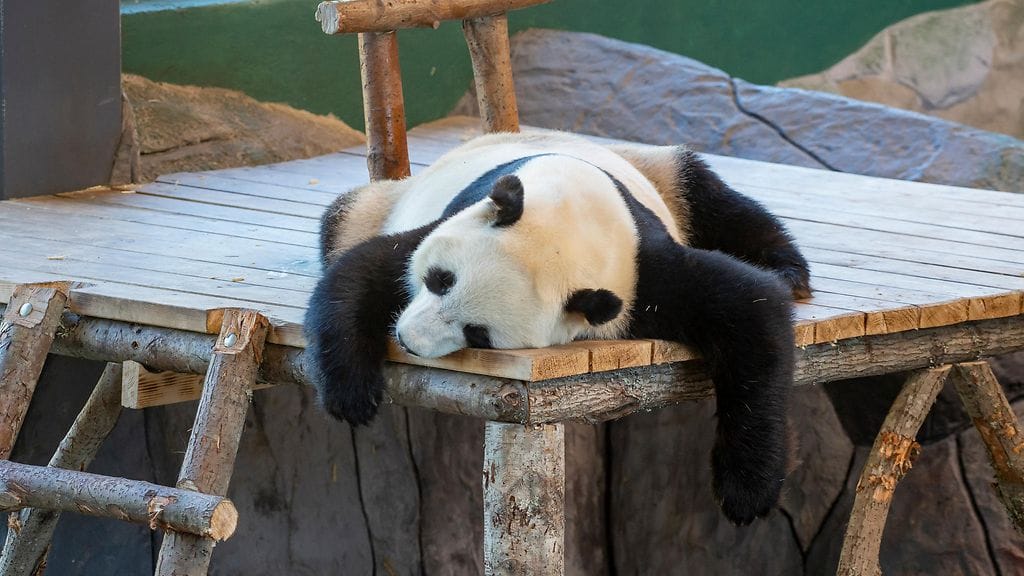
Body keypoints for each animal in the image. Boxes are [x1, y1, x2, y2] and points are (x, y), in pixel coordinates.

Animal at [304, 130, 811, 526]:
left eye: (478, 333)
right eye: (439, 279)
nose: (408, 339)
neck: (571, 218)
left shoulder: (641, 265)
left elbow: (750, 310)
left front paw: (747, 492)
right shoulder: (460, 214)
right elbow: (365, 271)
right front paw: (351, 394)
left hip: (658, 172)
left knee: (710, 194)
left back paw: (789, 271)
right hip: (378, 204)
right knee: (341, 221)